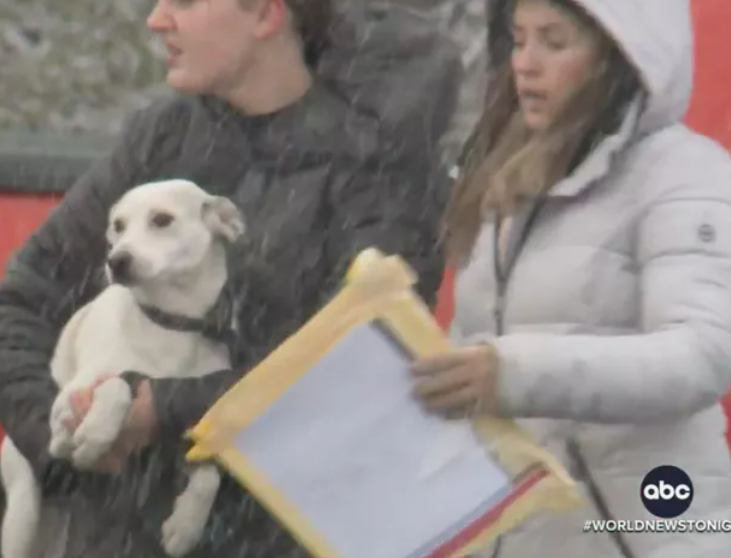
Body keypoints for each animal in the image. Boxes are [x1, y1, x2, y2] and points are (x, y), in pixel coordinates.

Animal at [0, 179, 246, 558]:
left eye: (162, 220)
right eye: (118, 225)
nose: (116, 261)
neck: (167, 325)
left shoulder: (174, 428)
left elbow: (209, 475)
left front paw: (185, 526)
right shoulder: (74, 392)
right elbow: (115, 384)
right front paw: (94, 433)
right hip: (23, 509)